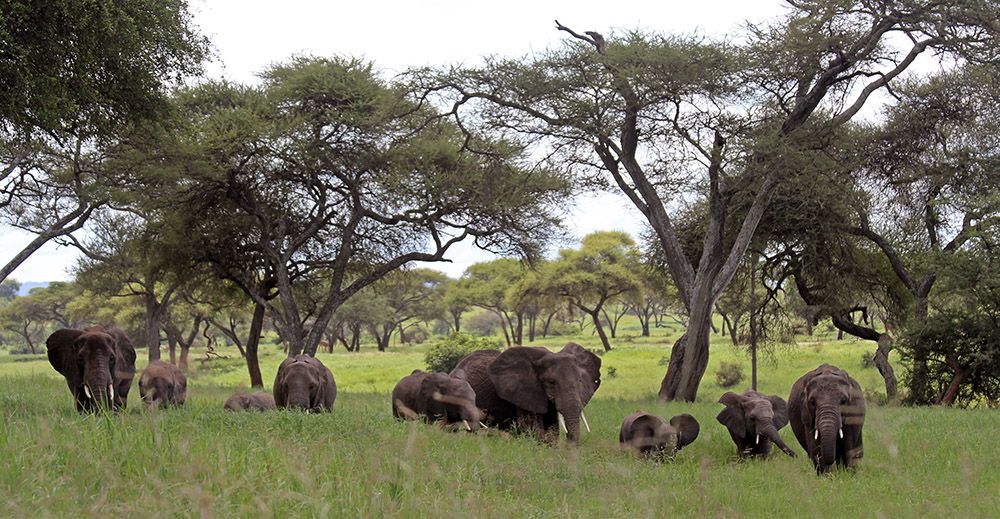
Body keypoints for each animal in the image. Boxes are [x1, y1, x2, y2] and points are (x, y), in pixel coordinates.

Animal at [450, 344, 596, 444]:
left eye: (579, 381)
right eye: (551, 382)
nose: (569, 444)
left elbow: (552, 426)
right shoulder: (523, 391)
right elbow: (532, 426)